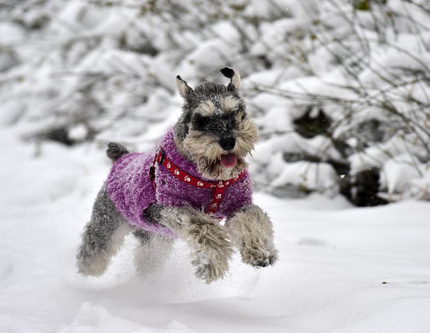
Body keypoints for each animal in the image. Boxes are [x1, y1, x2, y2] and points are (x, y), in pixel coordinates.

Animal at [77, 67, 278, 282]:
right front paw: (210, 263)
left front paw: (261, 252)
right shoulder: (168, 207)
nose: (228, 141)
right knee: (92, 255)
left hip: (154, 240)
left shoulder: (239, 203)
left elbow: (253, 216)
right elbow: (202, 225)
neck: (212, 179)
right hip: (106, 226)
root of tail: (122, 158)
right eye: (202, 120)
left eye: (236, 113)